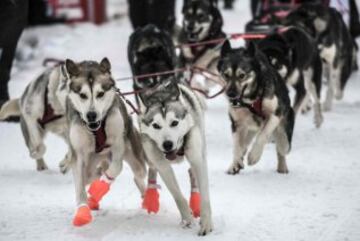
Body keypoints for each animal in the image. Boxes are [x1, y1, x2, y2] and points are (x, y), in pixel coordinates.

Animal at [63, 58, 146, 226]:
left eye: (100, 93)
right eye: (82, 95)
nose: (91, 115)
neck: (96, 129)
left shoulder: (118, 144)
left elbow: (115, 168)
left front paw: (99, 187)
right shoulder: (78, 154)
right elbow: (79, 186)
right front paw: (82, 211)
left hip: (135, 160)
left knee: (138, 176)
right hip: (90, 164)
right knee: (91, 175)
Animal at [137, 79, 211, 235]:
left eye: (174, 122)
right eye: (156, 125)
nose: (167, 144)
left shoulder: (197, 159)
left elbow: (205, 196)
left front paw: (206, 224)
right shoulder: (163, 166)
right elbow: (177, 195)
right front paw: (187, 218)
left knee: (193, 171)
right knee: (153, 169)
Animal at [218, 40, 294, 174]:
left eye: (242, 75)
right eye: (226, 75)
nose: (231, 94)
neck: (252, 99)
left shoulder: (275, 115)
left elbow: (263, 135)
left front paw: (254, 156)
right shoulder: (237, 123)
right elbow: (237, 146)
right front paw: (236, 162)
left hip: (283, 133)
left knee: (281, 147)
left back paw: (282, 166)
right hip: (248, 128)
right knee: (243, 145)